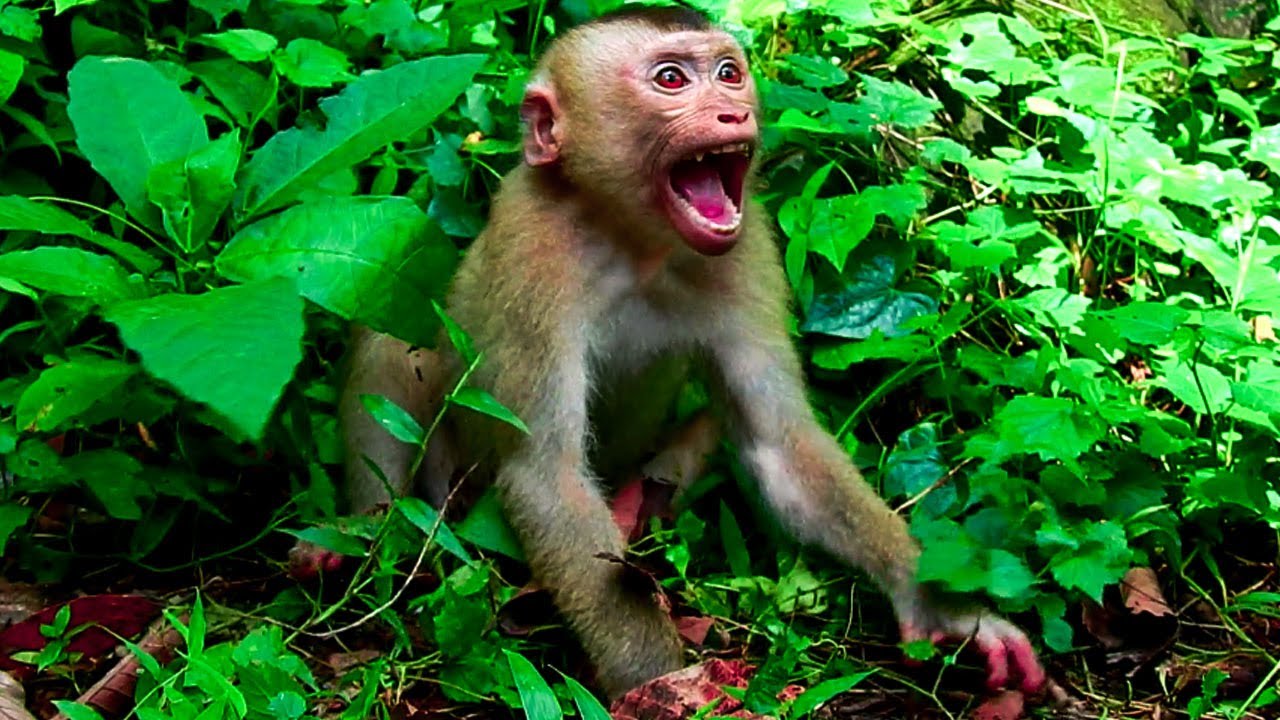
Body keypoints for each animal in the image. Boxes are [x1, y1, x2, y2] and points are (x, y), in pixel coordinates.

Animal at [294, 7, 1047, 700]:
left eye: (729, 72)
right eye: (671, 80)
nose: (733, 110)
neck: (634, 238)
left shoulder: (748, 248)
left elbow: (780, 443)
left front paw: (943, 607)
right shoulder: (535, 248)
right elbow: (546, 475)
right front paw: (659, 684)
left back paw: (640, 501)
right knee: (393, 343)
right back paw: (361, 529)